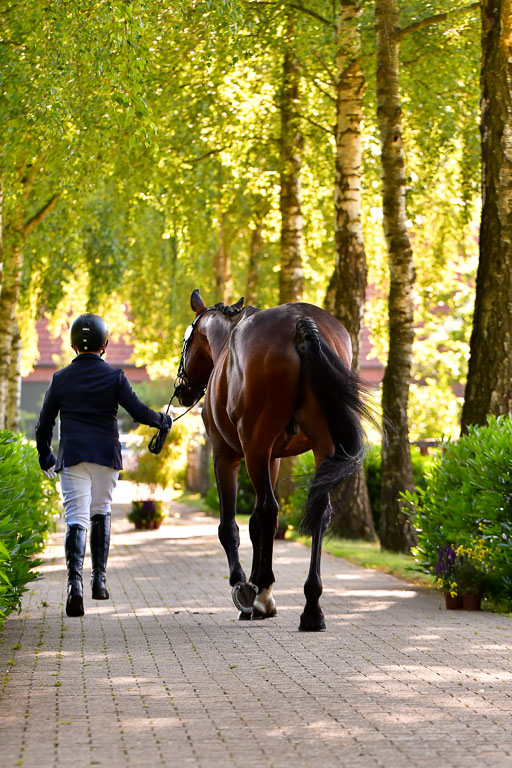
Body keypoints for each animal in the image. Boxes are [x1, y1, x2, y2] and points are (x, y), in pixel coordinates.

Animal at [174, 289, 370, 631]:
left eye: (186, 341)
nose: (182, 389)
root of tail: (300, 323)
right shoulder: (273, 458)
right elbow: (254, 524)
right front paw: (258, 586)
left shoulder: (226, 456)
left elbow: (232, 526)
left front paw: (245, 586)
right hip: (323, 446)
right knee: (318, 511)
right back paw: (311, 607)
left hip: (255, 444)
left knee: (268, 509)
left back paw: (263, 594)